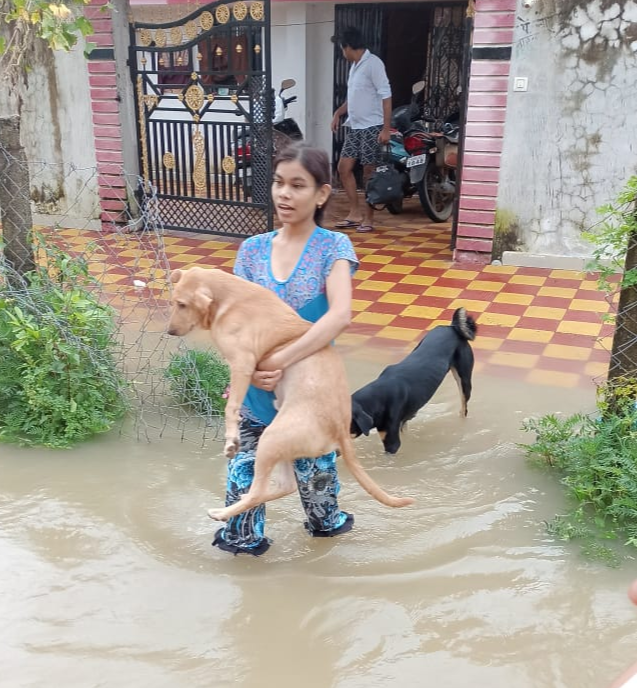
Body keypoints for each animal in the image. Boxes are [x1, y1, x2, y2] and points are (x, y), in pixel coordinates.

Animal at [165, 266, 412, 520]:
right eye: (173, 302)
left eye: (182, 304)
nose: (170, 331)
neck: (227, 299)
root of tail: (340, 428)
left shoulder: (243, 364)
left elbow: (230, 407)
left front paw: (231, 439)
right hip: (280, 443)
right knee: (285, 486)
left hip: (271, 439)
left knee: (260, 491)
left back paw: (223, 512)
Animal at [348, 310, 476, 454]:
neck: (378, 398)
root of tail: (452, 327)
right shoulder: (401, 424)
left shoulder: (392, 443)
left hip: (464, 381)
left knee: (463, 409)